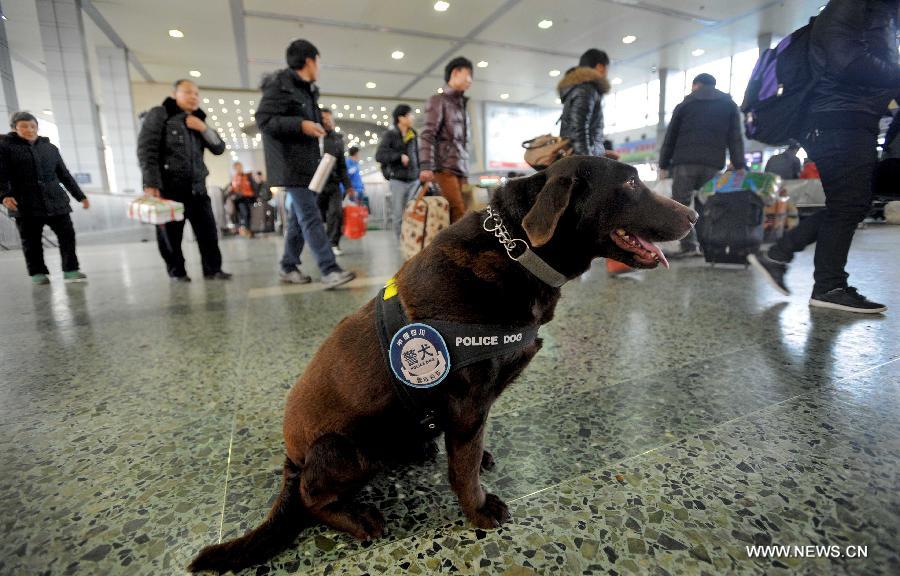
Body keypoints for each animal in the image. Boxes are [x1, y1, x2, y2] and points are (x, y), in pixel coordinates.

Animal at [188, 154, 696, 572]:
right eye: (630, 182)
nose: (692, 214)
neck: (517, 252)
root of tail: (291, 458)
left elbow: (468, 450)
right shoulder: (468, 400)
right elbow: (463, 467)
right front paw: (478, 509)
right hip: (345, 448)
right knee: (313, 496)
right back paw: (356, 517)